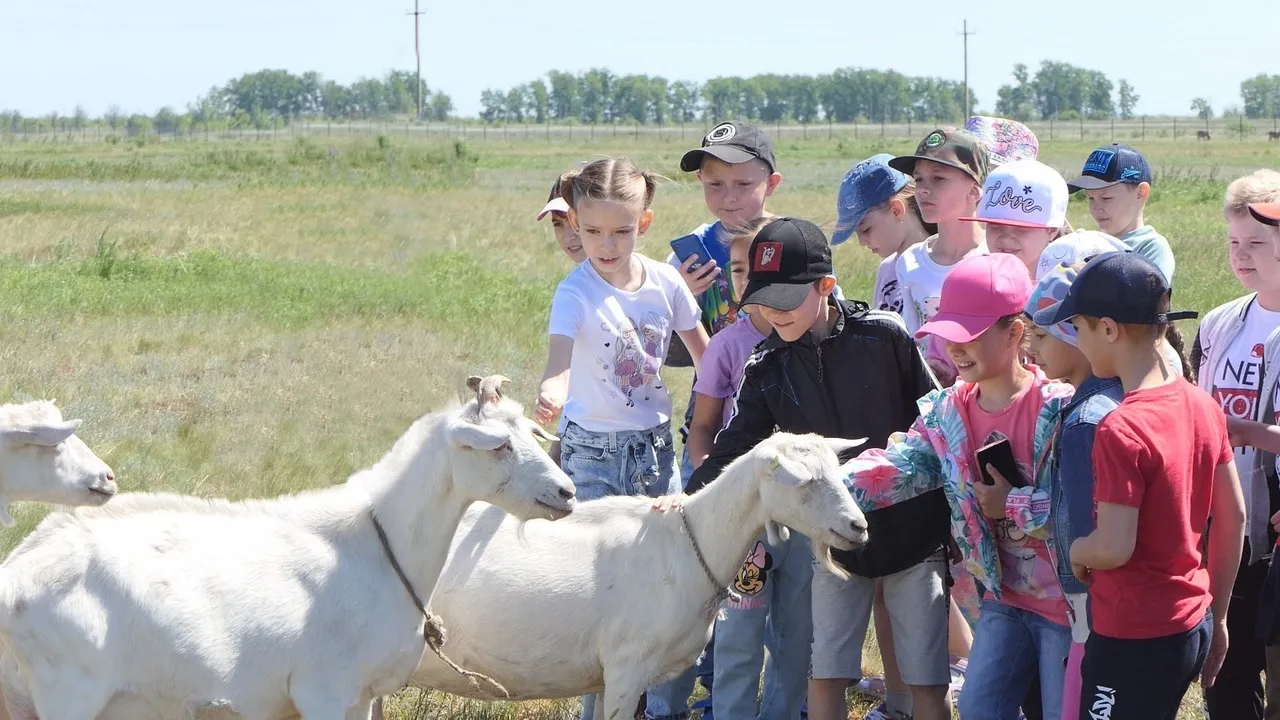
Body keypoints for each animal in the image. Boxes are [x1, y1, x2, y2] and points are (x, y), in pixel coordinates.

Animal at [0, 376, 576, 717]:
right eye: (497, 446)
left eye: (529, 434)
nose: (566, 493)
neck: (378, 546)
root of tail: (18, 574)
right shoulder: (324, 690)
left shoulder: (363, 696)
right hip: (69, 691)